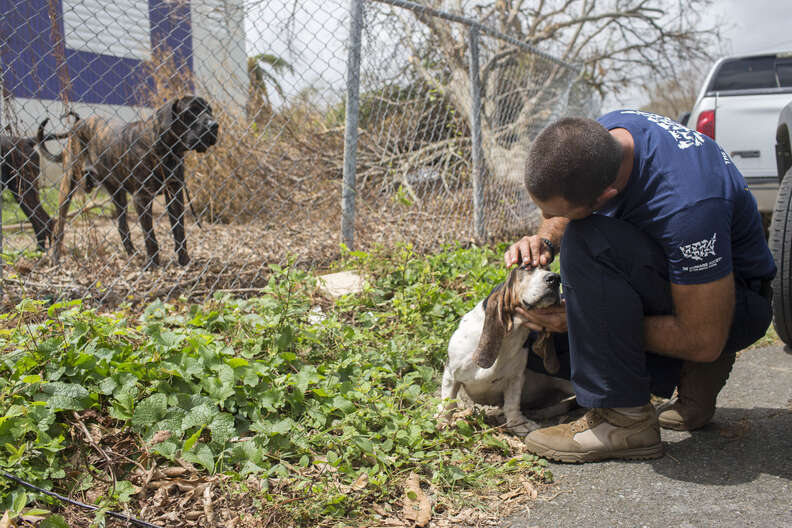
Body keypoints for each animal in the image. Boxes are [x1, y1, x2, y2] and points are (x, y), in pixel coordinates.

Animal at [41, 96, 217, 268]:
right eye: (191, 111)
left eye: (210, 110)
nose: (214, 125)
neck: (165, 150)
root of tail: (77, 124)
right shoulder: (142, 197)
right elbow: (149, 235)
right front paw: (152, 264)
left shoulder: (175, 193)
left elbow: (179, 230)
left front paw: (184, 261)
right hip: (68, 183)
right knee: (59, 225)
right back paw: (55, 257)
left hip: (117, 193)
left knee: (122, 226)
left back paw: (132, 254)